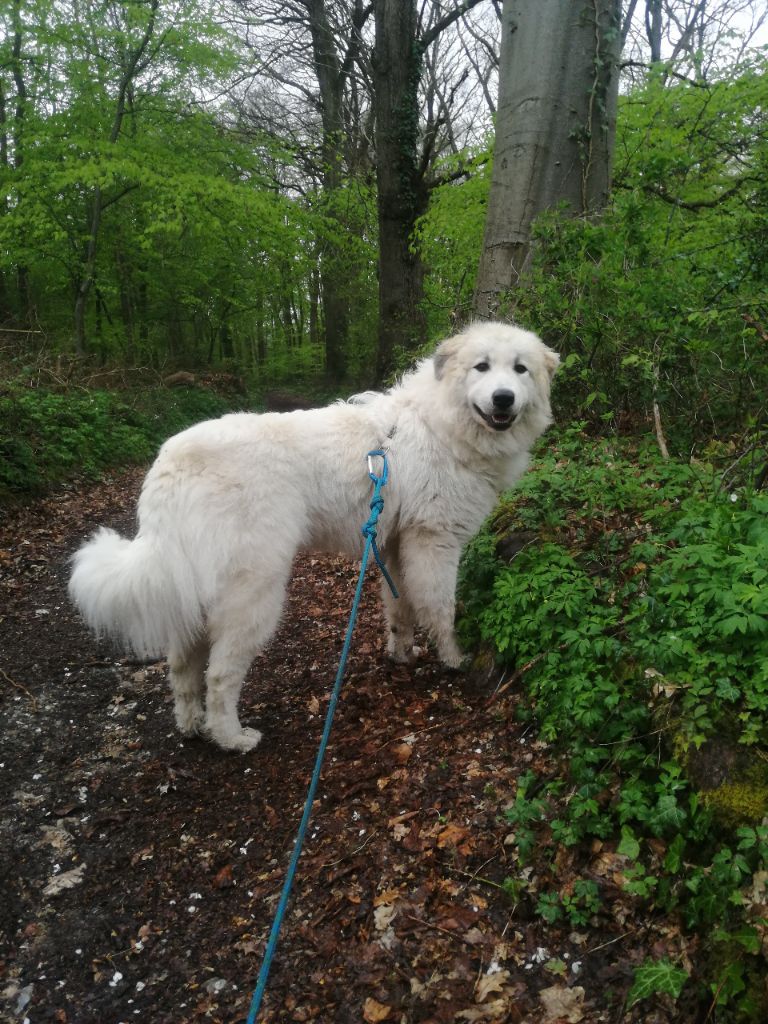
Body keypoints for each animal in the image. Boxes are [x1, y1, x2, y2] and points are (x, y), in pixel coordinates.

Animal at [69, 321, 561, 753]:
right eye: (482, 367)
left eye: (520, 369)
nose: (503, 398)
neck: (441, 423)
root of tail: (170, 463)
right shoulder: (434, 541)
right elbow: (441, 607)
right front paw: (455, 658)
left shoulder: (396, 544)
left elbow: (399, 606)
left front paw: (402, 653)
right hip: (253, 594)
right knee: (219, 676)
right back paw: (231, 738)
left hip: (194, 590)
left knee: (182, 666)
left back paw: (190, 726)